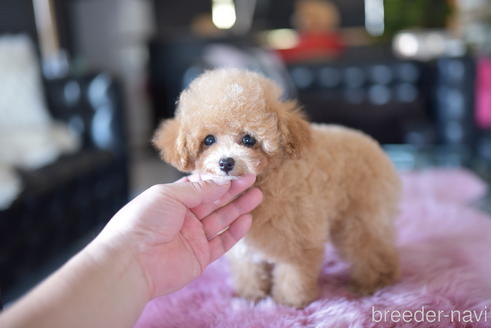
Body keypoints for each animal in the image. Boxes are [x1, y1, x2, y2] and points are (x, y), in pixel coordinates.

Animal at [153, 68, 400, 306]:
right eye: (209, 140)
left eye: (248, 140)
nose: (226, 162)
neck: (264, 181)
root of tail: (372, 144)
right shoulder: (244, 248)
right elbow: (248, 269)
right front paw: (251, 295)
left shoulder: (299, 238)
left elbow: (294, 272)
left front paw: (290, 301)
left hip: (361, 213)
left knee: (369, 247)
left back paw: (373, 282)